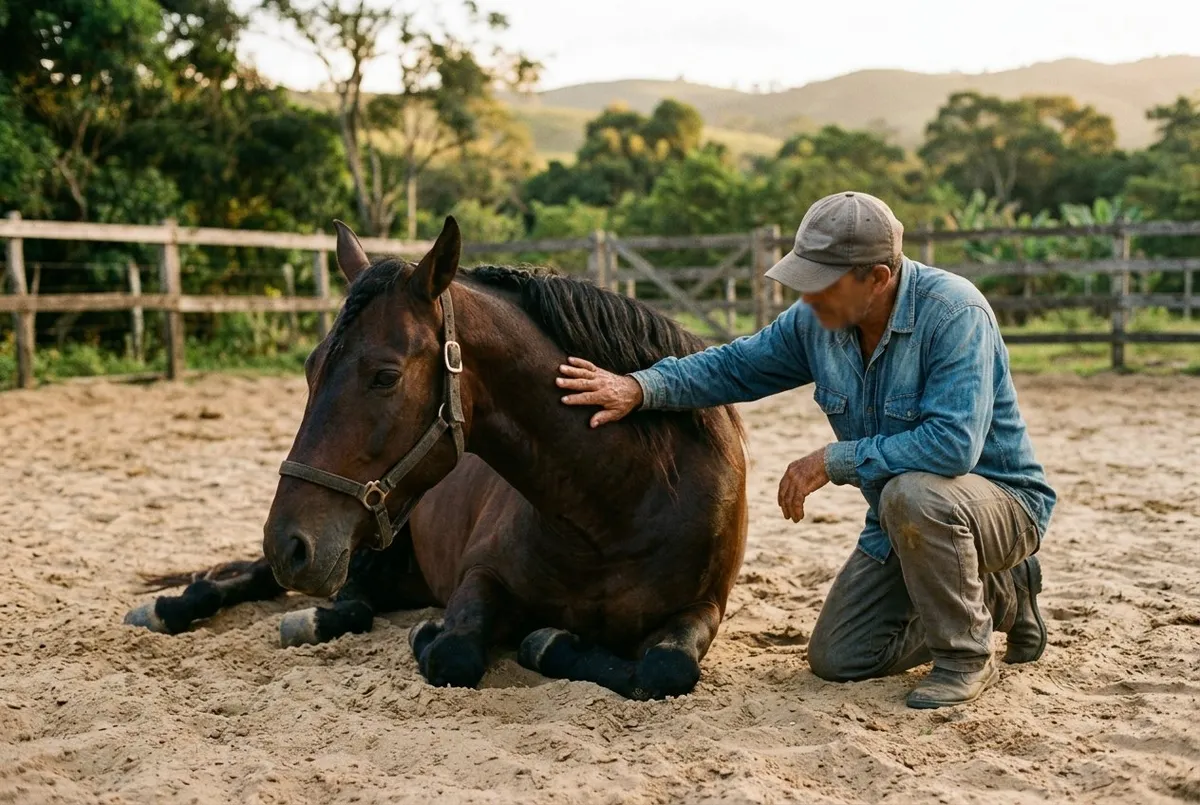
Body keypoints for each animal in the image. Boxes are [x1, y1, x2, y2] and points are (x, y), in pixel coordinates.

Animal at [130, 215, 749, 700]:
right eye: (309, 367)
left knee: (353, 601)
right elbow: (455, 654)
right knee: (259, 578)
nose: (290, 544)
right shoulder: (479, 575)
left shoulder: (702, 609)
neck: (619, 505)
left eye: (385, 376)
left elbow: (667, 668)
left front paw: (543, 641)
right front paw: (440, 636)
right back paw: (168, 609)